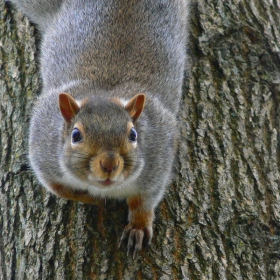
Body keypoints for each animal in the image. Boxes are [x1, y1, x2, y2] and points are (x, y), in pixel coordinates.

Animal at [9, 0, 188, 256]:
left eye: (133, 134)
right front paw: (90, 198)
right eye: (75, 135)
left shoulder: (158, 157)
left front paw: (138, 227)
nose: (109, 164)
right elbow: (58, 188)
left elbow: (145, 200)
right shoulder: (42, 148)